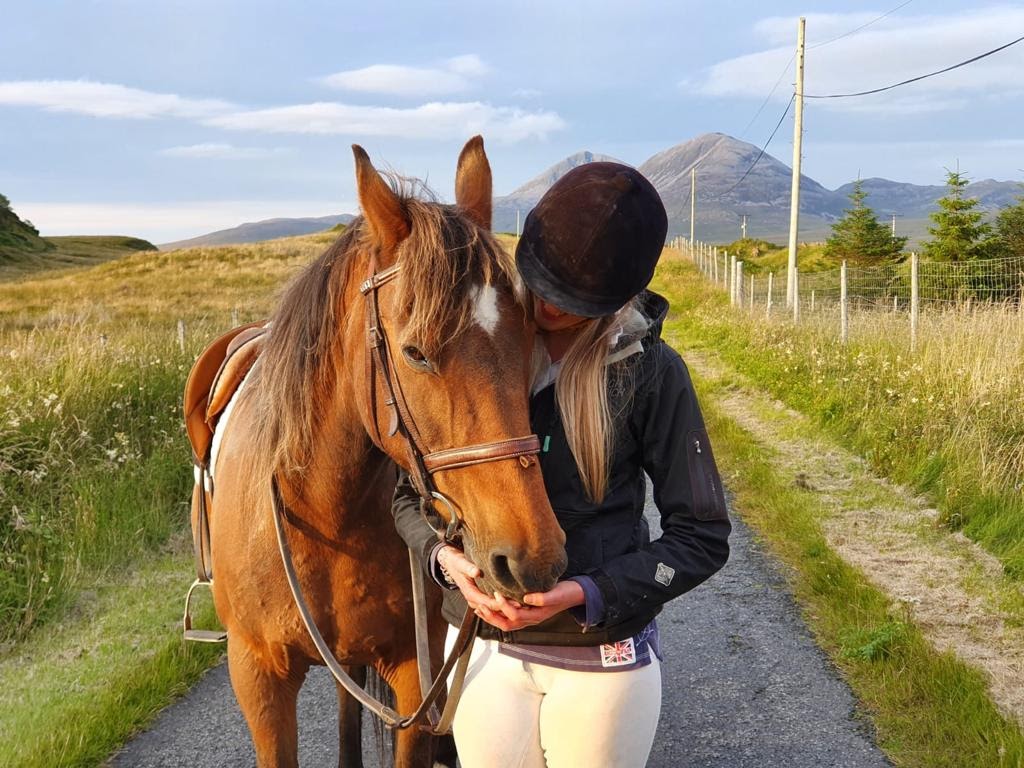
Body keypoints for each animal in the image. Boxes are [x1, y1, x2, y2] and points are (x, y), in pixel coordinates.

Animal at [202, 138, 565, 768]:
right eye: (415, 351)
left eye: (529, 339)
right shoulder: (258, 678)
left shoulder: (413, 674)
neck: (324, 514)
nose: (532, 558)